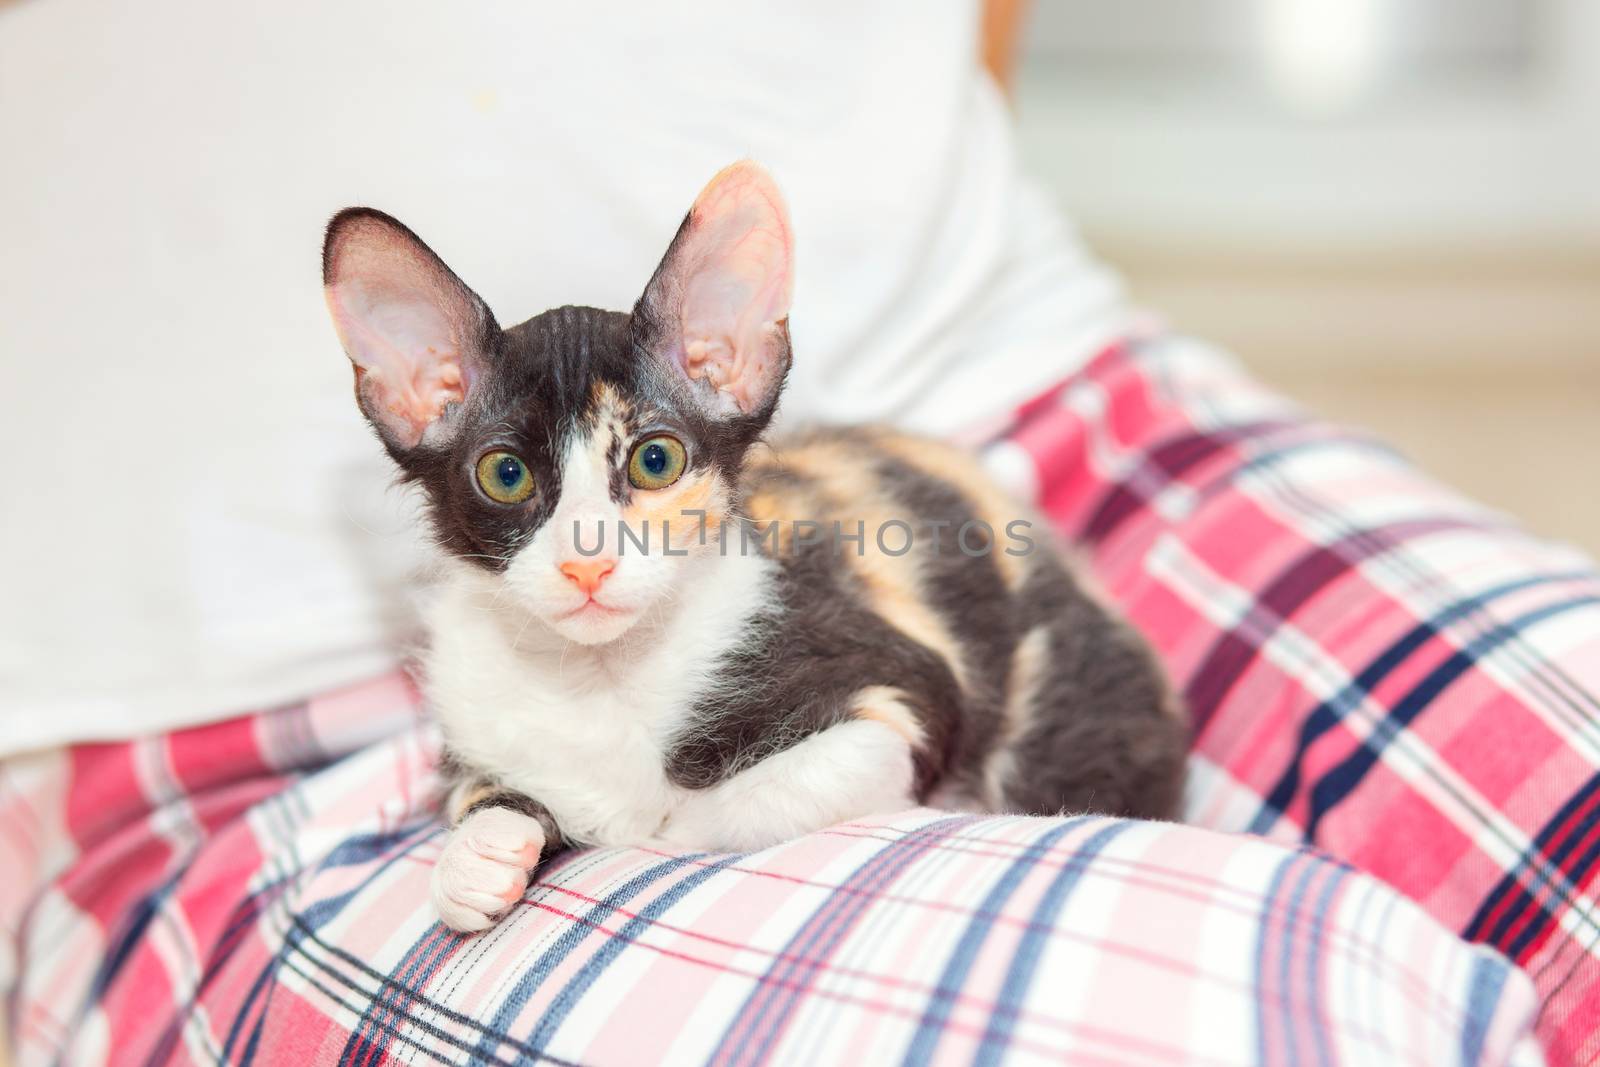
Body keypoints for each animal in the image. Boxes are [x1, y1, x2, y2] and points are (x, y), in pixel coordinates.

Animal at [321, 160, 1190, 934]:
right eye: (505, 474)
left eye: (656, 460)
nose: (587, 560)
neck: (600, 679)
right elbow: (469, 795)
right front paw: (476, 857)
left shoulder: (899, 701)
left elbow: (724, 814)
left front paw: (642, 828)